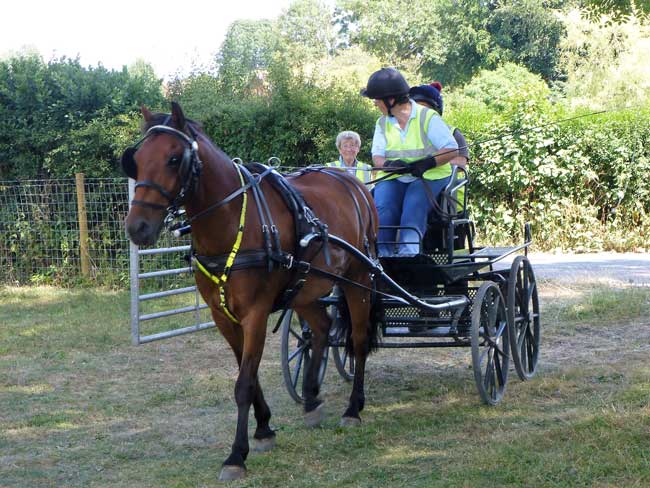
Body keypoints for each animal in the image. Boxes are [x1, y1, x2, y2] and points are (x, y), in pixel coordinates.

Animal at [121, 103, 380, 480]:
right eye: (136, 159)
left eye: (173, 158)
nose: (137, 227)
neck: (231, 222)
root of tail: (353, 182)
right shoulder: (222, 316)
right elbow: (250, 374)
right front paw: (264, 428)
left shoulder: (255, 313)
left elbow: (244, 382)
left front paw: (236, 455)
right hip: (303, 289)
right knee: (321, 327)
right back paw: (311, 399)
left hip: (357, 278)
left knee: (357, 340)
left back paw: (353, 408)